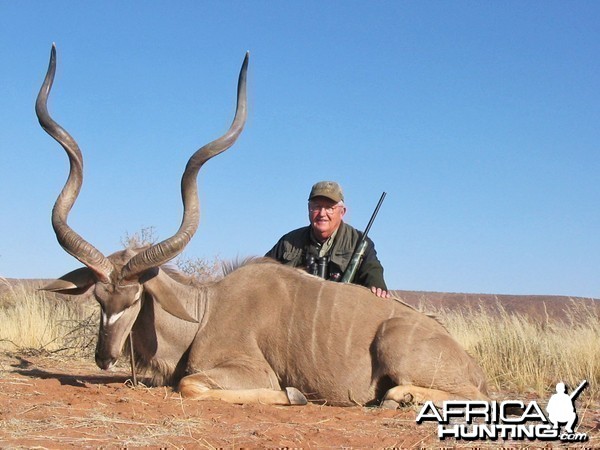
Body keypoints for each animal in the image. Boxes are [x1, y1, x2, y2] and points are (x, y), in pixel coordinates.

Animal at [35, 45, 490, 408]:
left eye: (134, 299)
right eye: (98, 298)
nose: (103, 357)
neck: (204, 311)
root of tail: (470, 363)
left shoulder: (246, 369)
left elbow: (191, 385)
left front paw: (294, 394)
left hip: (399, 348)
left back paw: (398, 397)